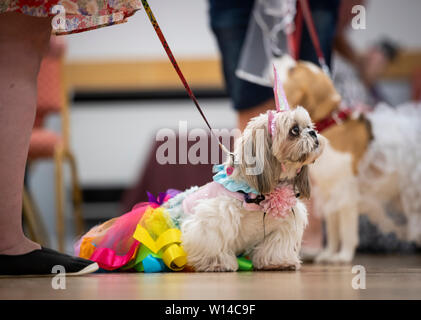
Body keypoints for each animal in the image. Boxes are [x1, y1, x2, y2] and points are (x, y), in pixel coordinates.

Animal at [162, 108, 324, 272]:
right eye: (295, 130)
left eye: (309, 126)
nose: (313, 133)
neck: (258, 195)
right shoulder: (213, 221)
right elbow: (213, 243)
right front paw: (216, 263)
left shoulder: (283, 225)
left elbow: (275, 247)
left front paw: (278, 262)